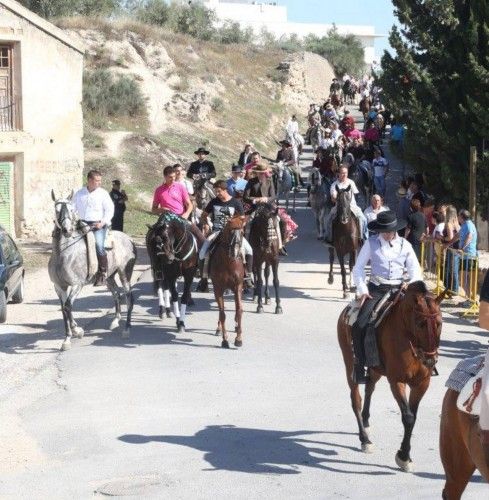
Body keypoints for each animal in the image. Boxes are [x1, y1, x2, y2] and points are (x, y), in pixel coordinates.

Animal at [48, 191, 136, 352]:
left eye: (71, 209)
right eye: (57, 210)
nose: (67, 230)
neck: (63, 253)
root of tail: (129, 239)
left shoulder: (77, 284)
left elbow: (68, 306)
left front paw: (77, 330)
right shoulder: (59, 287)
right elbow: (64, 310)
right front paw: (67, 339)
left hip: (124, 274)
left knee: (129, 298)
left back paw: (126, 329)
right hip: (109, 277)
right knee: (116, 294)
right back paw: (115, 321)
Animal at [210, 215, 248, 348]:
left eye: (242, 232)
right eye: (230, 231)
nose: (235, 252)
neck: (228, 263)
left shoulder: (238, 286)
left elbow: (239, 310)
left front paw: (239, 339)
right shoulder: (218, 288)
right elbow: (222, 313)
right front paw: (225, 339)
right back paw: (219, 329)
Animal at [338, 284, 444, 470]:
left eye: (439, 323)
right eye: (420, 324)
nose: (431, 360)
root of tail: (347, 309)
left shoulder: (421, 383)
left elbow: (413, 416)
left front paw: (406, 455)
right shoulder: (397, 381)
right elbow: (408, 417)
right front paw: (403, 456)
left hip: (376, 369)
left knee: (369, 388)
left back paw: (366, 422)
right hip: (350, 363)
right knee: (356, 398)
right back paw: (364, 439)